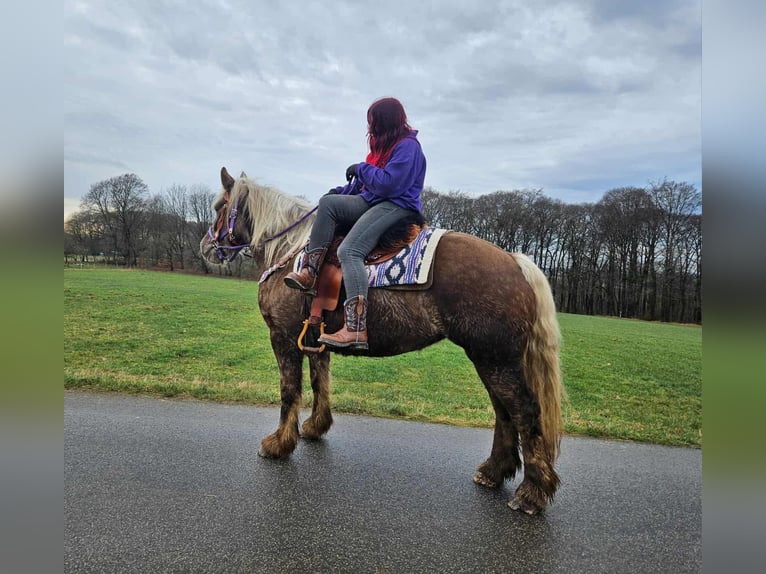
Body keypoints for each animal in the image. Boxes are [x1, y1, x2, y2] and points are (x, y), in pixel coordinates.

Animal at [199, 167, 564, 514]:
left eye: (218, 207)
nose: (205, 247)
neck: (290, 251)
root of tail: (514, 261)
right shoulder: (314, 338)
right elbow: (320, 382)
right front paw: (315, 427)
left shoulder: (284, 337)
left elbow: (289, 391)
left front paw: (278, 444)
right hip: (489, 358)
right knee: (504, 412)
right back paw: (493, 471)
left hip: (496, 359)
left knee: (525, 412)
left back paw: (531, 493)